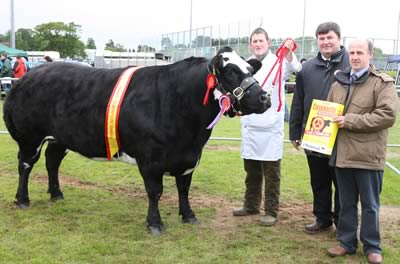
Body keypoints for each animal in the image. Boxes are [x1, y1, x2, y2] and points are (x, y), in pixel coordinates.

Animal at [2, 46, 268, 234]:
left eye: (251, 70)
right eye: (231, 72)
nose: (264, 98)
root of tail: (26, 77)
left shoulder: (189, 158)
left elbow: (184, 189)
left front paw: (189, 216)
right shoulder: (150, 160)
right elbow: (155, 192)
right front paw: (155, 224)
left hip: (60, 138)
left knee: (52, 162)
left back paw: (56, 194)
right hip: (29, 138)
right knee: (25, 165)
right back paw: (23, 199)